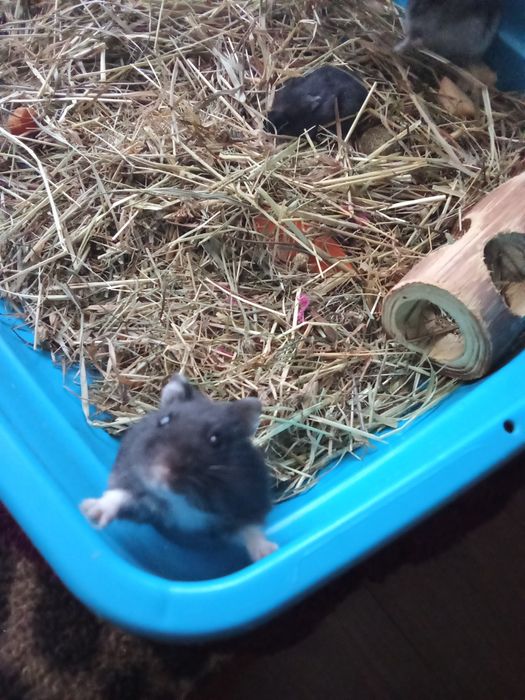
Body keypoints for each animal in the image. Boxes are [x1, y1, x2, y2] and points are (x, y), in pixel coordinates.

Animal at [80, 374, 278, 562]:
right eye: (164, 420)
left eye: (215, 439)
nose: (161, 474)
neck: (180, 499)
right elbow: (119, 496)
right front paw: (89, 511)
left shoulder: (247, 504)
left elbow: (250, 530)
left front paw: (267, 552)